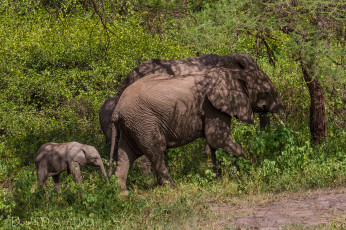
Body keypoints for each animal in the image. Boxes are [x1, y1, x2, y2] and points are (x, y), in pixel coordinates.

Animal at [107, 68, 284, 194]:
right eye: (266, 92)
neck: (236, 74)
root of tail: (117, 108)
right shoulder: (212, 106)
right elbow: (217, 139)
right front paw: (250, 172)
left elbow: (213, 144)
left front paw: (218, 178)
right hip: (143, 121)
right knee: (155, 150)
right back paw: (172, 188)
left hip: (132, 124)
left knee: (126, 154)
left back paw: (122, 193)